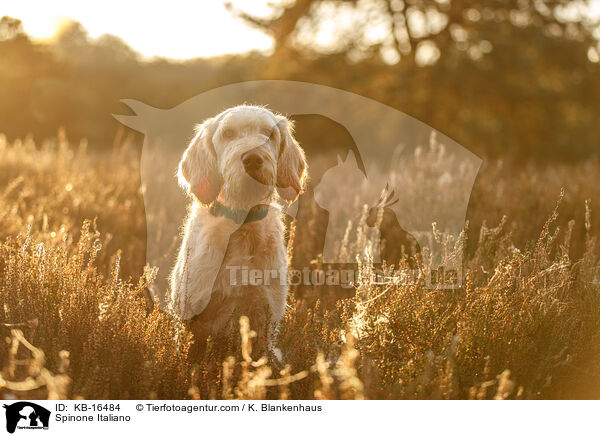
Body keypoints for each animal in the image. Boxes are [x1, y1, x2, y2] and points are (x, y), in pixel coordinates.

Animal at [171, 104, 308, 358]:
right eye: (228, 134)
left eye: (268, 134)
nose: (253, 158)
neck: (242, 223)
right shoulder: (192, 316)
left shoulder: (265, 316)